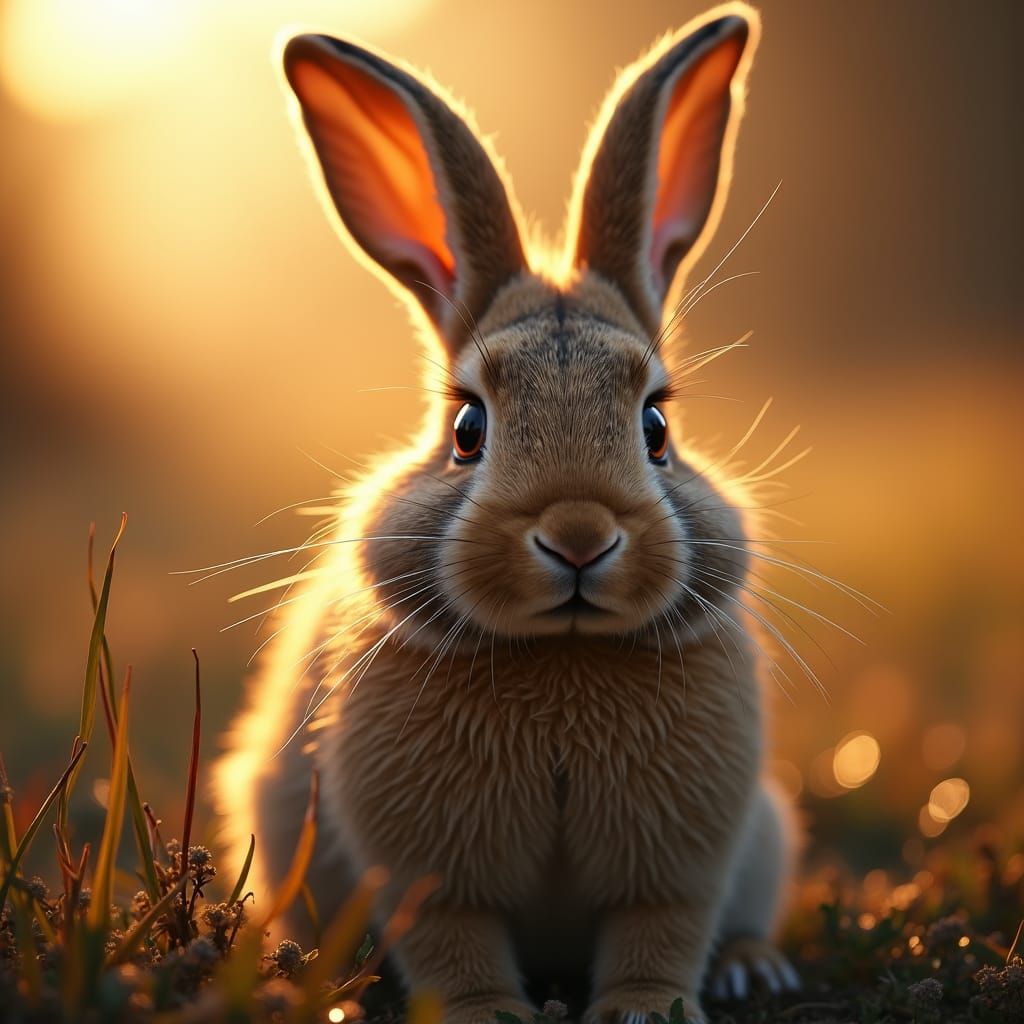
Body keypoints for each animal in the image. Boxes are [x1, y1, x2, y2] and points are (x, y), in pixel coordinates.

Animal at [213, 4, 801, 1022]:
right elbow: (456, 940)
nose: (578, 537)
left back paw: (752, 968)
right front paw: (486, 1012)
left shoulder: (683, 859)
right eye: (467, 428)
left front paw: (646, 1008)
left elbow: (659, 929)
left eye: (656, 425)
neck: (561, 653)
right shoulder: (429, 870)